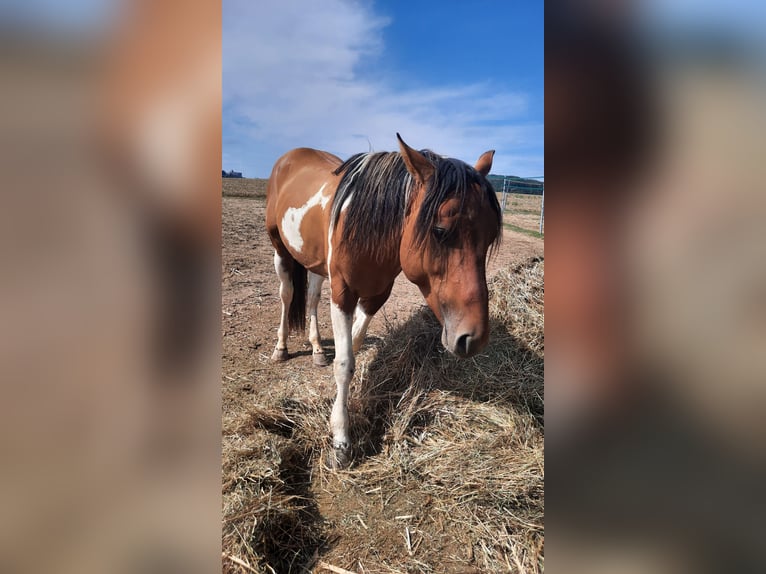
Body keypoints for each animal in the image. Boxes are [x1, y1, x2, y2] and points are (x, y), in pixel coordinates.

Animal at [265, 134, 502, 468]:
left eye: (491, 235)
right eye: (440, 230)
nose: (474, 338)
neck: (366, 229)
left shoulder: (376, 295)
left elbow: (352, 346)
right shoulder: (342, 293)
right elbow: (344, 363)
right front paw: (341, 440)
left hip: (314, 261)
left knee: (310, 298)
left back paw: (317, 349)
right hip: (280, 249)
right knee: (287, 295)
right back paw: (281, 348)